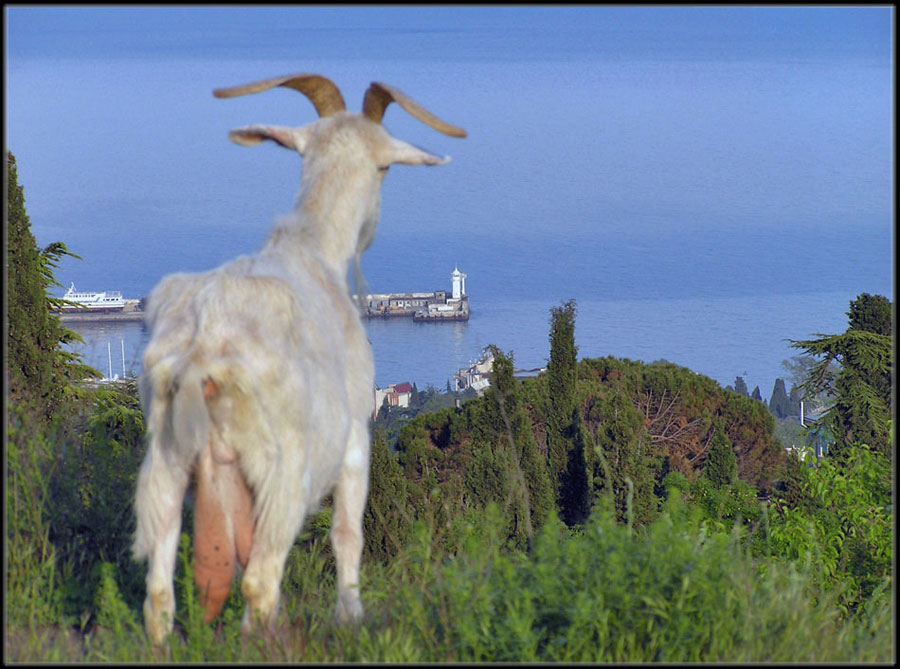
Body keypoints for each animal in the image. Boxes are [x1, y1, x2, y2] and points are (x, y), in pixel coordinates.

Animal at [136, 73, 468, 640]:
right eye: (384, 167)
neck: (311, 246)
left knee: (159, 594)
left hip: (166, 463)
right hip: (282, 475)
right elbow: (348, 534)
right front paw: (350, 617)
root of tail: (204, 351)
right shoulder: (356, 438)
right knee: (261, 581)